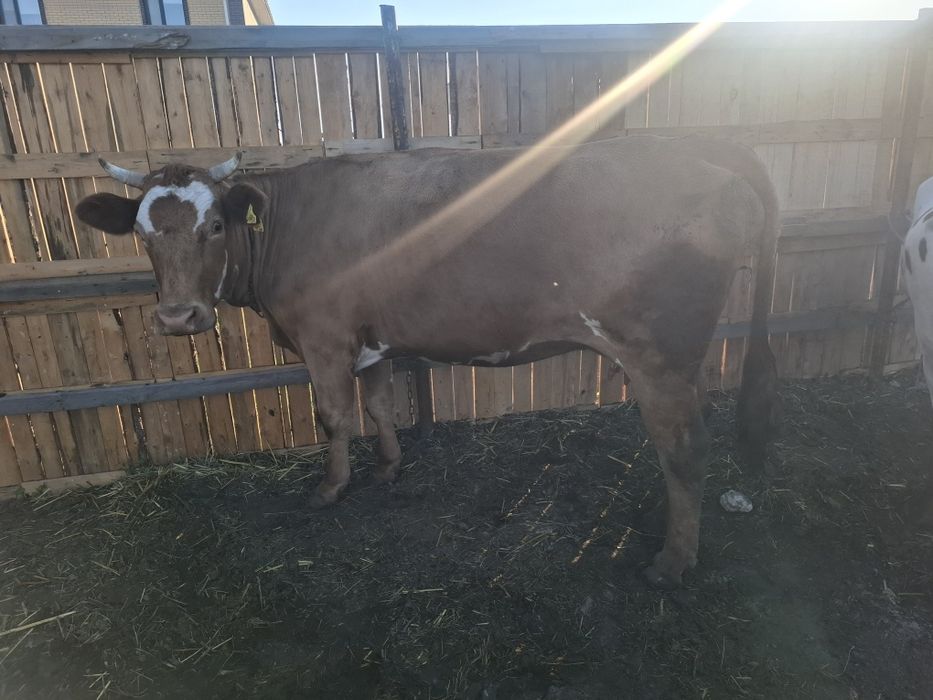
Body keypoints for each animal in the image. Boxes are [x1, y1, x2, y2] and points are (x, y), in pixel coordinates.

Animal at [75, 135, 781, 587]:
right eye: (142, 233)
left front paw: (330, 489)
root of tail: (700, 145)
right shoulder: (370, 337)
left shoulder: (323, 336)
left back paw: (672, 563)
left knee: (685, 448)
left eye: (215, 226)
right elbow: (380, 401)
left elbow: (334, 415)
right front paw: (389, 467)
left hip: (660, 357)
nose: (178, 318)